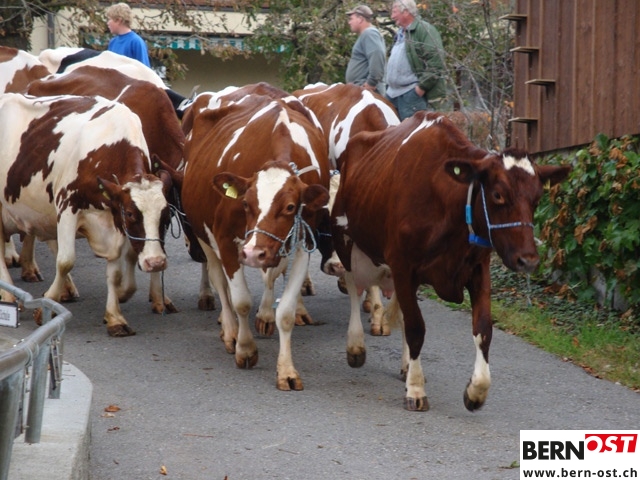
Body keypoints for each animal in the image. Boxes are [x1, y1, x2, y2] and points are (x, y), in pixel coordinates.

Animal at [0, 93, 172, 336]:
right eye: (130, 213)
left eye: (166, 217)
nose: (155, 262)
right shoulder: (67, 206)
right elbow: (65, 261)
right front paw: (46, 306)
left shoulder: (113, 220)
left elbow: (115, 273)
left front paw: (115, 317)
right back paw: (8, 295)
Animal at [180, 90, 330, 390]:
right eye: (245, 204)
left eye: (290, 207)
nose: (252, 254)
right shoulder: (226, 240)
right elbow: (240, 300)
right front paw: (245, 349)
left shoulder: (302, 245)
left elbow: (285, 311)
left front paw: (286, 370)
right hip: (204, 234)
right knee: (219, 280)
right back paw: (229, 330)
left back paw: (263, 317)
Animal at [331, 112, 571, 411]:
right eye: (498, 194)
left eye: (537, 199)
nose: (527, 259)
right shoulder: (403, 265)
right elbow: (416, 327)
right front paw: (416, 389)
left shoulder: (478, 269)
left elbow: (483, 330)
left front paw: (476, 390)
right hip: (346, 241)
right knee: (354, 286)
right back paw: (356, 346)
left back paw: (404, 364)